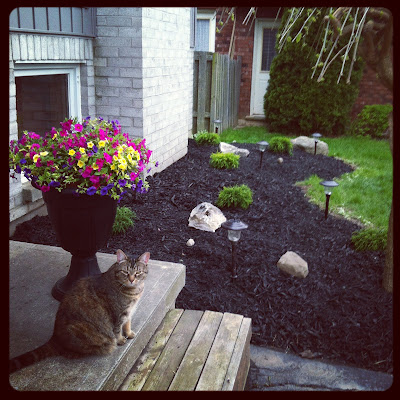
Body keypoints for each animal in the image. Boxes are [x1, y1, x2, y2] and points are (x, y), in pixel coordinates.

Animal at [10, 249, 150, 374]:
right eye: (125, 272)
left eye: (138, 273)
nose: (131, 279)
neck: (134, 291)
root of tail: (55, 337)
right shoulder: (118, 315)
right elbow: (117, 330)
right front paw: (120, 340)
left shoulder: (129, 312)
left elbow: (127, 324)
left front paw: (129, 333)